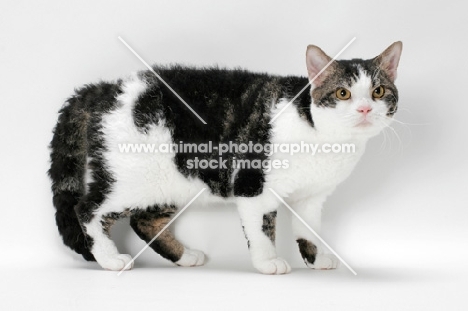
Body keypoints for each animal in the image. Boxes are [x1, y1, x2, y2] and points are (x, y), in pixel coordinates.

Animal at [50, 42, 402, 276]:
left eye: (379, 92)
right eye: (343, 93)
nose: (365, 109)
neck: (324, 136)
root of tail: (105, 89)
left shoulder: (312, 198)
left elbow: (309, 229)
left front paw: (316, 261)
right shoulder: (252, 186)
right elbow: (262, 228)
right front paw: (268, 262)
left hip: (171, 182)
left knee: (145, 221)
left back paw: (185, 256)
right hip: (131, 178)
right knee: (88, 209)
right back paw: (110, 259)